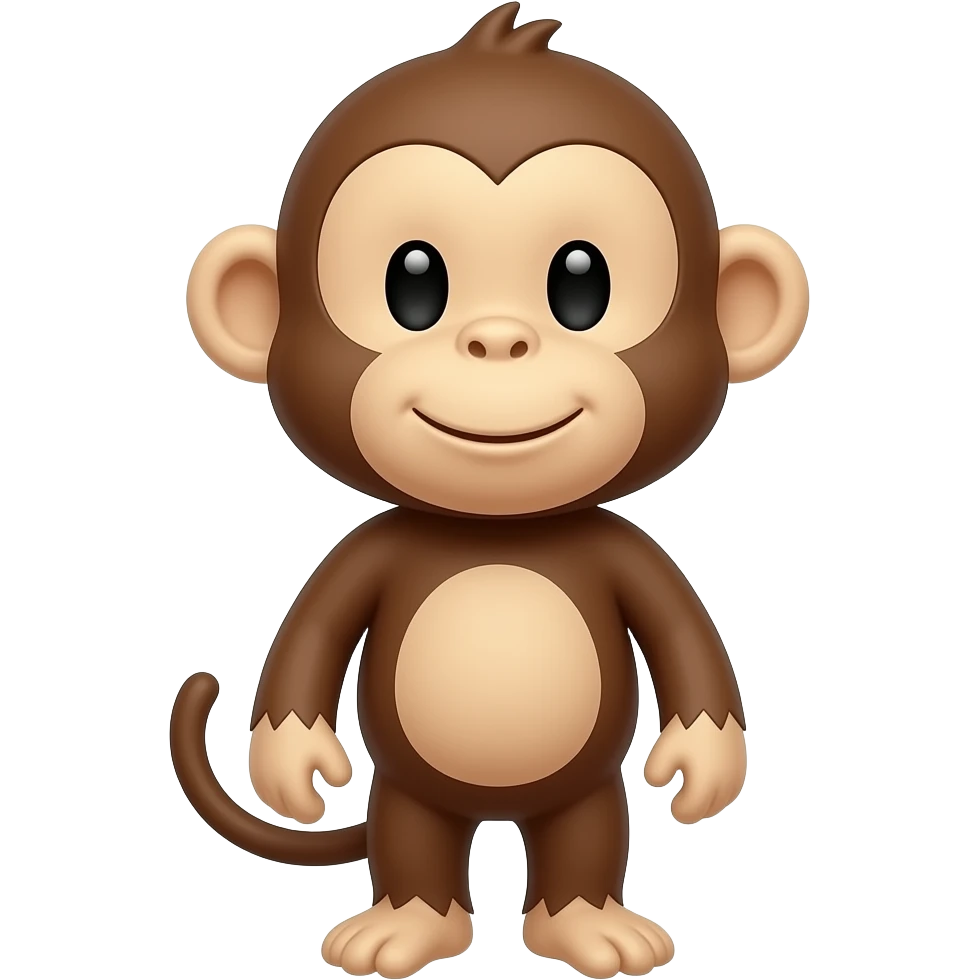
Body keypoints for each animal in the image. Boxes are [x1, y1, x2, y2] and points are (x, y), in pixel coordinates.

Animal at [171, 3, 811, 978]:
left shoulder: (630, 555)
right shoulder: (369, 552)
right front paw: (294, 762)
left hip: (585, 789)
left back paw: (589, 927)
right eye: (414, 280)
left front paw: (703, 763)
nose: (499, 340)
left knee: (585, 838)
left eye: (582, 282)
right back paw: (405, 927)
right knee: (415, 843)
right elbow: (310, 639)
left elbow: (685, 639)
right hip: (408, 792)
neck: (497, 530)